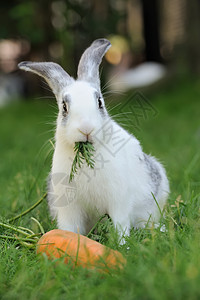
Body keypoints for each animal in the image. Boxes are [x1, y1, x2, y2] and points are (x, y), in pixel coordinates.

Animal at [18, 38, 169, 243]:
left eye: (99, 102)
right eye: (64, 107)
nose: (86, 129)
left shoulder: (118, 200)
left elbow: (120, 224)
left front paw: (122, 245)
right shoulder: (68, 207)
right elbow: (70, 228)